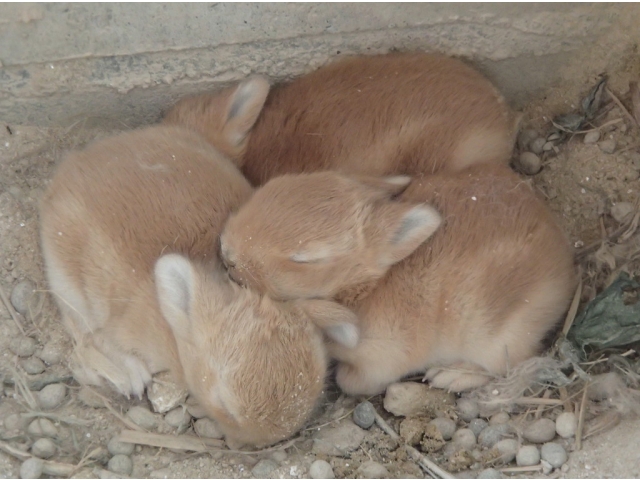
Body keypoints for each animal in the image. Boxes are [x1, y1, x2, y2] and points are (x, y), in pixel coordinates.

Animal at [38, 124, 360, 446]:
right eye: (223, 405)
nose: (258, 442)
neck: (178, 336)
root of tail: (74, 162)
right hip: (68, 281)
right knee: (81, 339)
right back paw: (128, 376)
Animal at [219, 165, 576, 394]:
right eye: (275, 185)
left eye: (304, 259)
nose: (227, 250)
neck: (365, 286)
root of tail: (564, 266)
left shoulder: (382, 360)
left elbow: (355, 382)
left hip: (498, 336)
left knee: (511, 363)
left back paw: (450, 377)